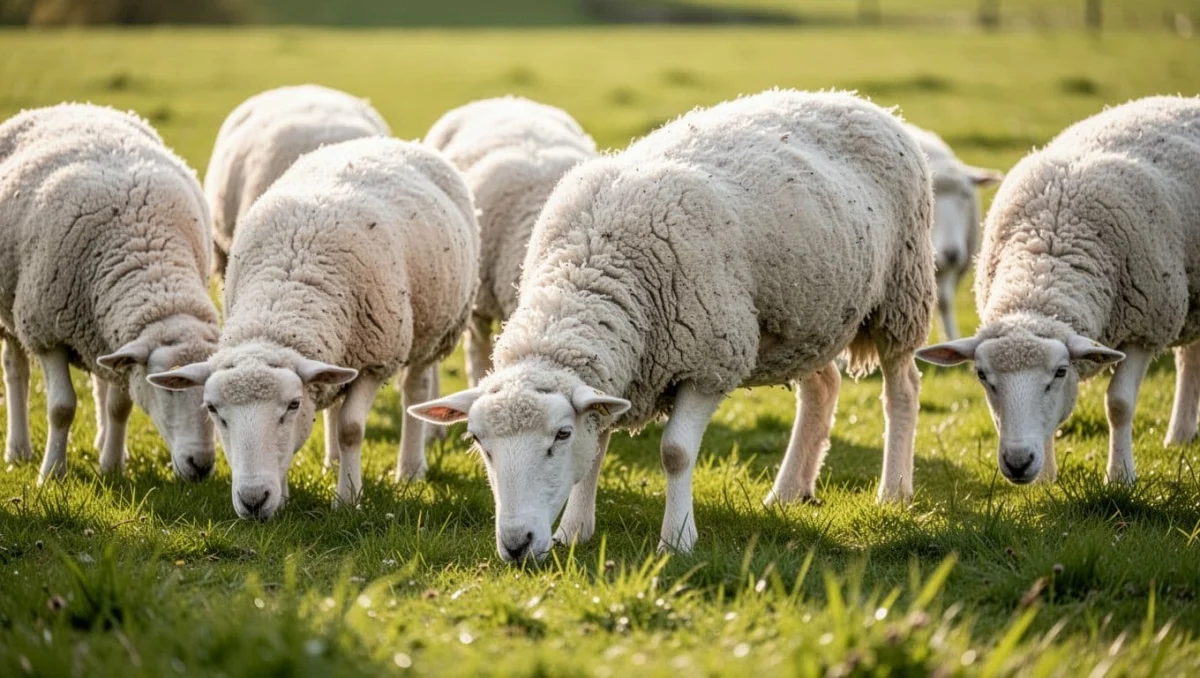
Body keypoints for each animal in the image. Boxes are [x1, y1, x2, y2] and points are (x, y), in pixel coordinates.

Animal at [0, 103, 220, 483]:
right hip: (12, 310)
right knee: (16, 372)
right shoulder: (45, 332)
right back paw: (18, 450)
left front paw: (113, 466)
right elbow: (61, 407)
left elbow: (120, 405)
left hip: (100, 333)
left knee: (102, 383)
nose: (201, 466)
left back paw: (104, 442)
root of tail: (71, 105)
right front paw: (52, 473)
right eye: (166, 387)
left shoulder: (125, 339)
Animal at [147, 137, 479, 519]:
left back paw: (409, 469)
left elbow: (351, 429)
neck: (279, 305)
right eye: (213, 410)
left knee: (415, 389)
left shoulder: (376, 361)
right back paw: (331, 463)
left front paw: (347, 499)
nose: (253, 500)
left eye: (292, 405)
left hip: (434, 330)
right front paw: (285, 497)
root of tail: (386, 141)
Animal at [916, 96, 1200, 487]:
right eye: (982, 375)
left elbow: (1119, 404)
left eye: (1061, 372)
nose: (1018, 461)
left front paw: (1120, 476)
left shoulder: (1145, 327)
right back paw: (1181, 435)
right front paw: (1045, 480)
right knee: (1191, 357)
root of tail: (1180, 100)